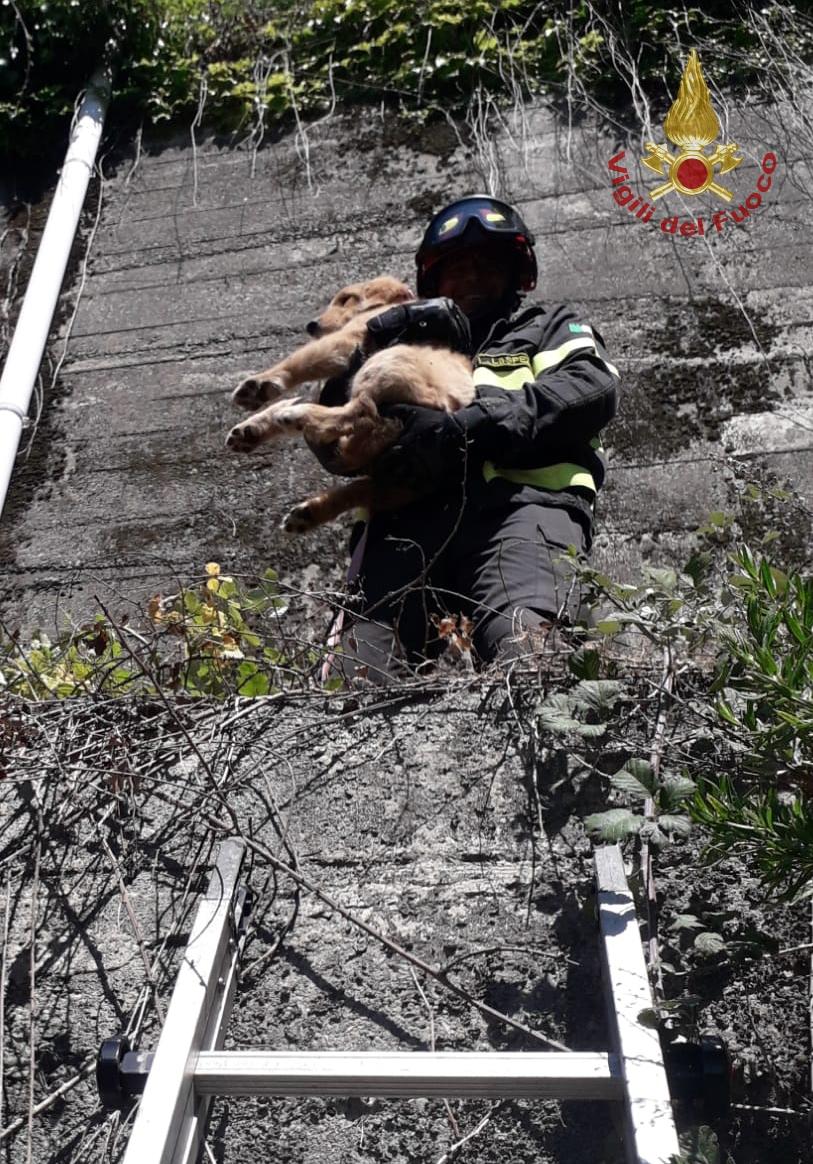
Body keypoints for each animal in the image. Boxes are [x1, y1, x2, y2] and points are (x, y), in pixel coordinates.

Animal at [224, 274, 472, 533]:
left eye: (346, 299)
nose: (311, 325)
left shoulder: (345, 340)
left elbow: (300, 362)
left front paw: (259, 385)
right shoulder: (325, 387)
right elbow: (282, 403)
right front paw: (250, 429)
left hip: (382, 364)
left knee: (360, 414)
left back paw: (299, 418)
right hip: (403, 481)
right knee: (361, 490)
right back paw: (310, 512)